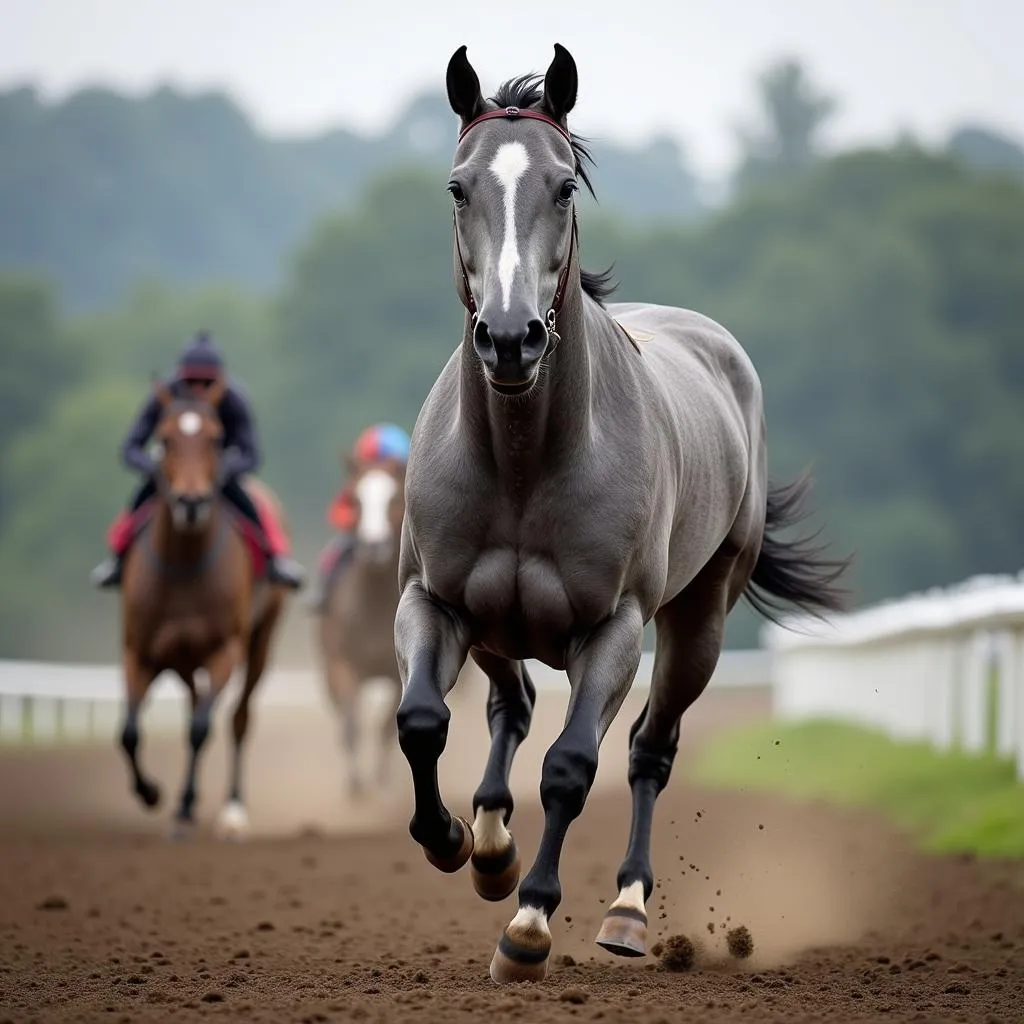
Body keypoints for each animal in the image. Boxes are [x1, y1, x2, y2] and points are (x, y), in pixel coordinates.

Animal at [118, 380, 292, 835]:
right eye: (164, 438)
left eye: (215, 438)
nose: (191, 502)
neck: (183, 566)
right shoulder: (139, 651)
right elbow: (129, 731)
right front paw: (151, 793)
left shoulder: (223, 652)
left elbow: (201, 728)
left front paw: (182, 804)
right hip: (179, 659)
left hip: (260, 642)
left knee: (237, 719)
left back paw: (232, 808)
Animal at [315, 458, 403, 798]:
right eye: (355, 499)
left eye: (394, 498)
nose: (374, 546)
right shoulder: (343, 664)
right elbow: (351, 726)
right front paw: (356, 785)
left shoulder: (397, 673)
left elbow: (386, 727)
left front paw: (381, 780)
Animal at [393, 41, 847, 983]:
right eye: (458, 187)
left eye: (564, 185)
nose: (510, 338)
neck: (525, 460)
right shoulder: (434, 599)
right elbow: (421, 720)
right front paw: (453, 839)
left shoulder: (615, 628)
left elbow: (573, 766)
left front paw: (529, 927)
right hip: (495, 627)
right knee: (511, 705)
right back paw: (490, 846)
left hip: (699, 617)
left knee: (649, 746)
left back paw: (626, 911)